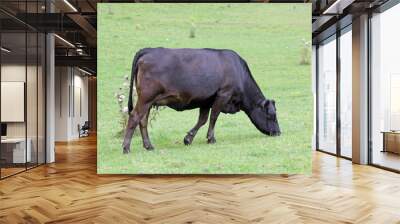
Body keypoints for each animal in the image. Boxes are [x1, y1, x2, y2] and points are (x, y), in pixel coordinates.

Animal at [122, 48, 282, 153]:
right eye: (271, 115)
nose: (278, 132)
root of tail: (148, 50)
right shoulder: (223, 94)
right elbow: (214, 117)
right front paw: (211, 138)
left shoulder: (206, 100)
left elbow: (203, 120)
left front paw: (188, 138)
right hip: (146, 98)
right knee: (135, 117)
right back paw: (126, 147)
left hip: (148, 101)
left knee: (143, 120)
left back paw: (148, 146)